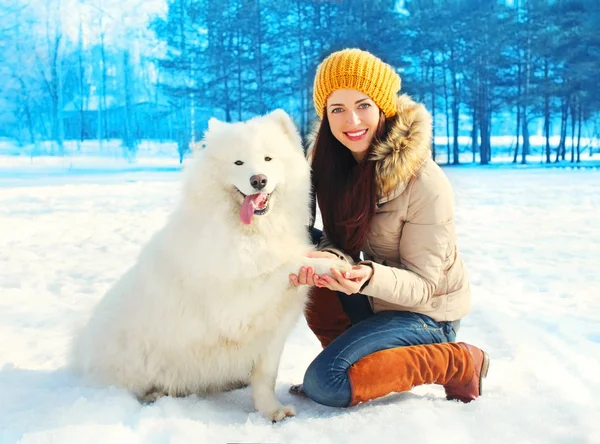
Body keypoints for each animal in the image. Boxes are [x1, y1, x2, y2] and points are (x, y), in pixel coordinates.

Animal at [72, 109, 350, 422]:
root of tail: (81, 349)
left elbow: (266, 378)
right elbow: (283, 266)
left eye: (268, 158)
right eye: (238, 162)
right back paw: (154, 394)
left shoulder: (273, 333)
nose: (258, 180)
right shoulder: (235, 306)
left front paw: (272, 411)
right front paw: (332, 267)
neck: (252, 232)